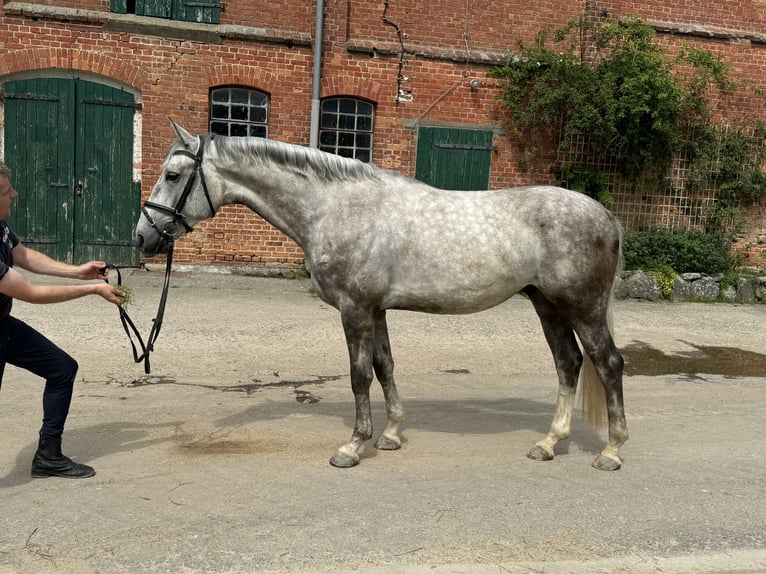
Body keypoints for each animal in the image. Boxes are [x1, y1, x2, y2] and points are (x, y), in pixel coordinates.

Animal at [136, 122, 632, 472]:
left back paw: (611, 451)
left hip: (583, 308)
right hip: (547, 305)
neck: (335, 207)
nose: (143, 237)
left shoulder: (355, 309)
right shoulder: (377, 311)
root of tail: (605, 215)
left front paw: (354, 446)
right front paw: (391, 434)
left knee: (608, 364)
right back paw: (548, 443)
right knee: (568, 363)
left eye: (172, 175)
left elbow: (359, 376)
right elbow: (384, 366)